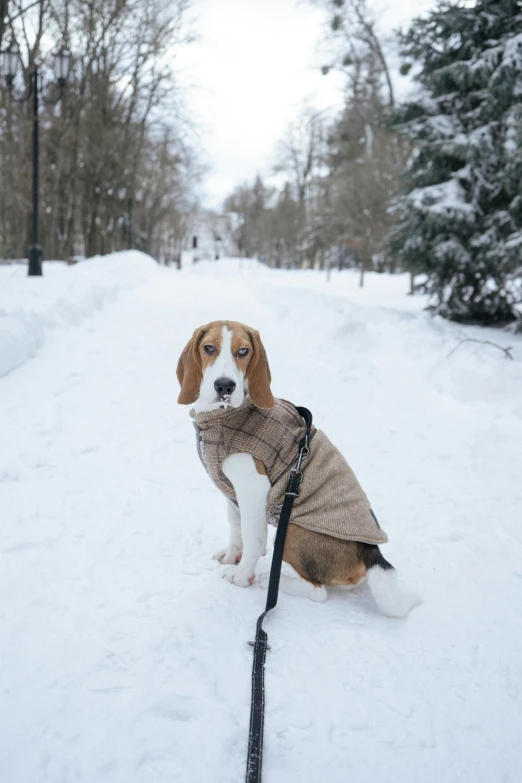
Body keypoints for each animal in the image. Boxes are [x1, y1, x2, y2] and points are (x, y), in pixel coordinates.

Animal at [178, 320, 418, 620]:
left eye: (243, 351)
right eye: (209, 348)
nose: (225, 385)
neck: (223, 415)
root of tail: (371, 551)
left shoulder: (253, 490)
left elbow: (252, 538)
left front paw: (242, 575)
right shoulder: (233, 493)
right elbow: (236, 528)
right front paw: (232, 556)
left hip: (291, 528)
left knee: (319, 591)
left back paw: (269, 580)